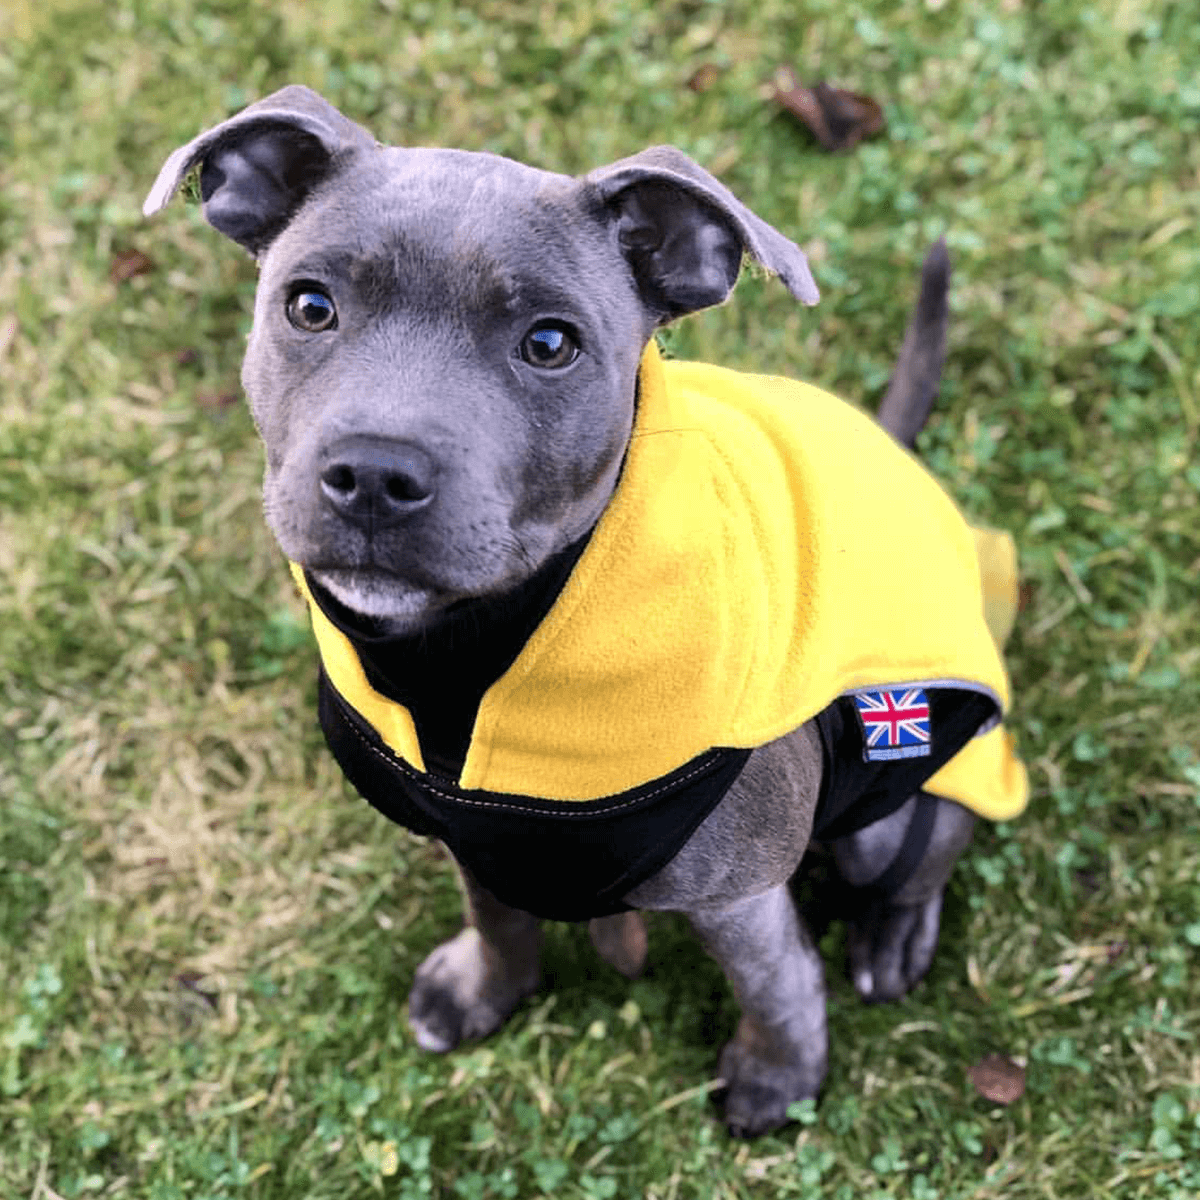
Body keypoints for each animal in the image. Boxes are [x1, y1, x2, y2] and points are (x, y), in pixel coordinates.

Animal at [145, 84, 1027, 1132]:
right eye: (309, 305)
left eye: (550, 344)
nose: (373, 476)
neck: (470, 656)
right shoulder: (474, 837)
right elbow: (496, 915)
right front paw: (485, 989)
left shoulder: (739, 892)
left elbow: (775, 983)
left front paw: (779, 1074)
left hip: (895, 808)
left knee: (921, 853)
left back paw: (892, 936)